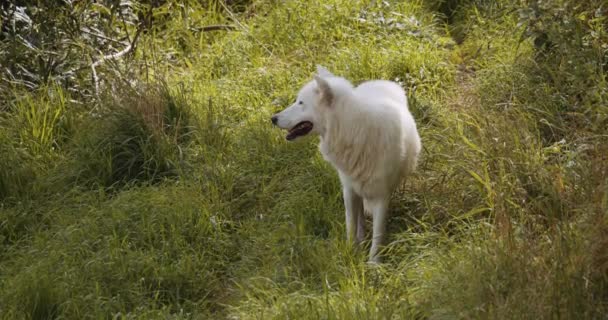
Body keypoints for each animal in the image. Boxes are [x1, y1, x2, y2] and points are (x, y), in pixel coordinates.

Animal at [272, 65, 420, 262]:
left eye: (300, 103)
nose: (273, 118)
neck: (353, 130)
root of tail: (381, 81)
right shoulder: (349, 190)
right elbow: (351, 225)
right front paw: (350, 253)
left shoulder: (382, 196)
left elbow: (378, 234)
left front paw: (373, 264)